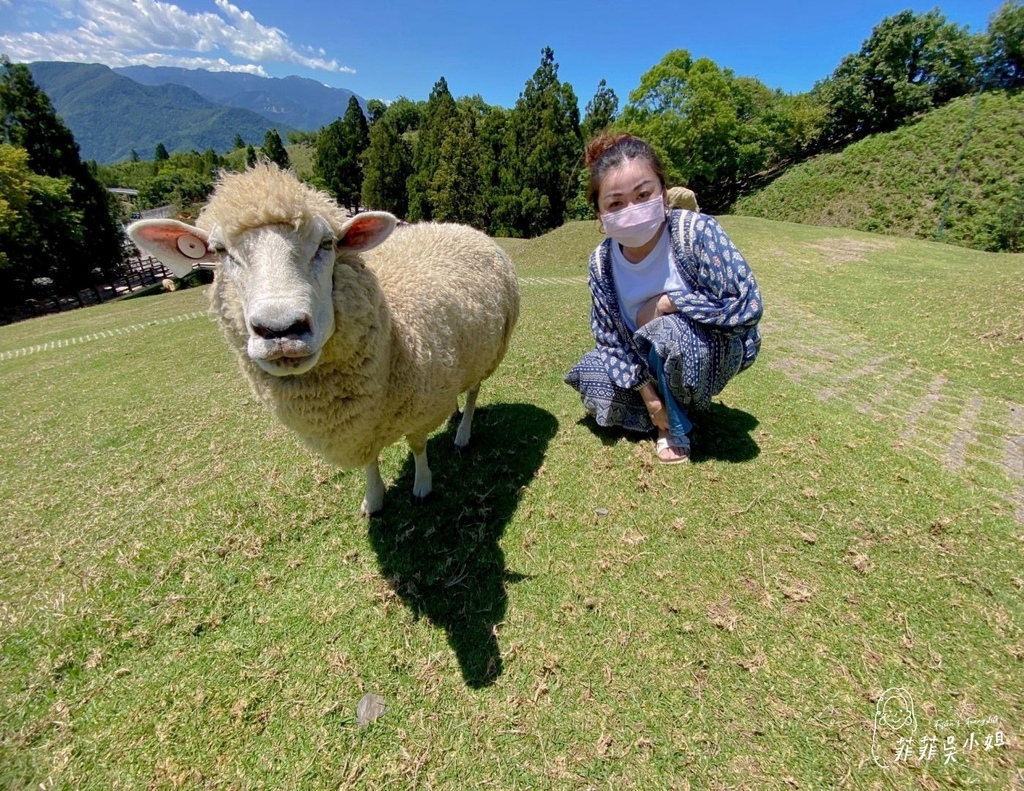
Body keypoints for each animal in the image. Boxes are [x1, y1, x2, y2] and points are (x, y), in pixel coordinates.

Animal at [130, 163, 520, 516]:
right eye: (220, 251)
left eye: (327, 243)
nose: (280, 330)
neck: (394, 336)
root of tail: (458, 225)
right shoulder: (360, 424)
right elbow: (370, 459)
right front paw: (373, 498)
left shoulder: (418, 404)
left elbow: (418, 444)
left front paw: (422, 485)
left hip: (491, 350)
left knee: (474, 391)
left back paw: (463, 432)